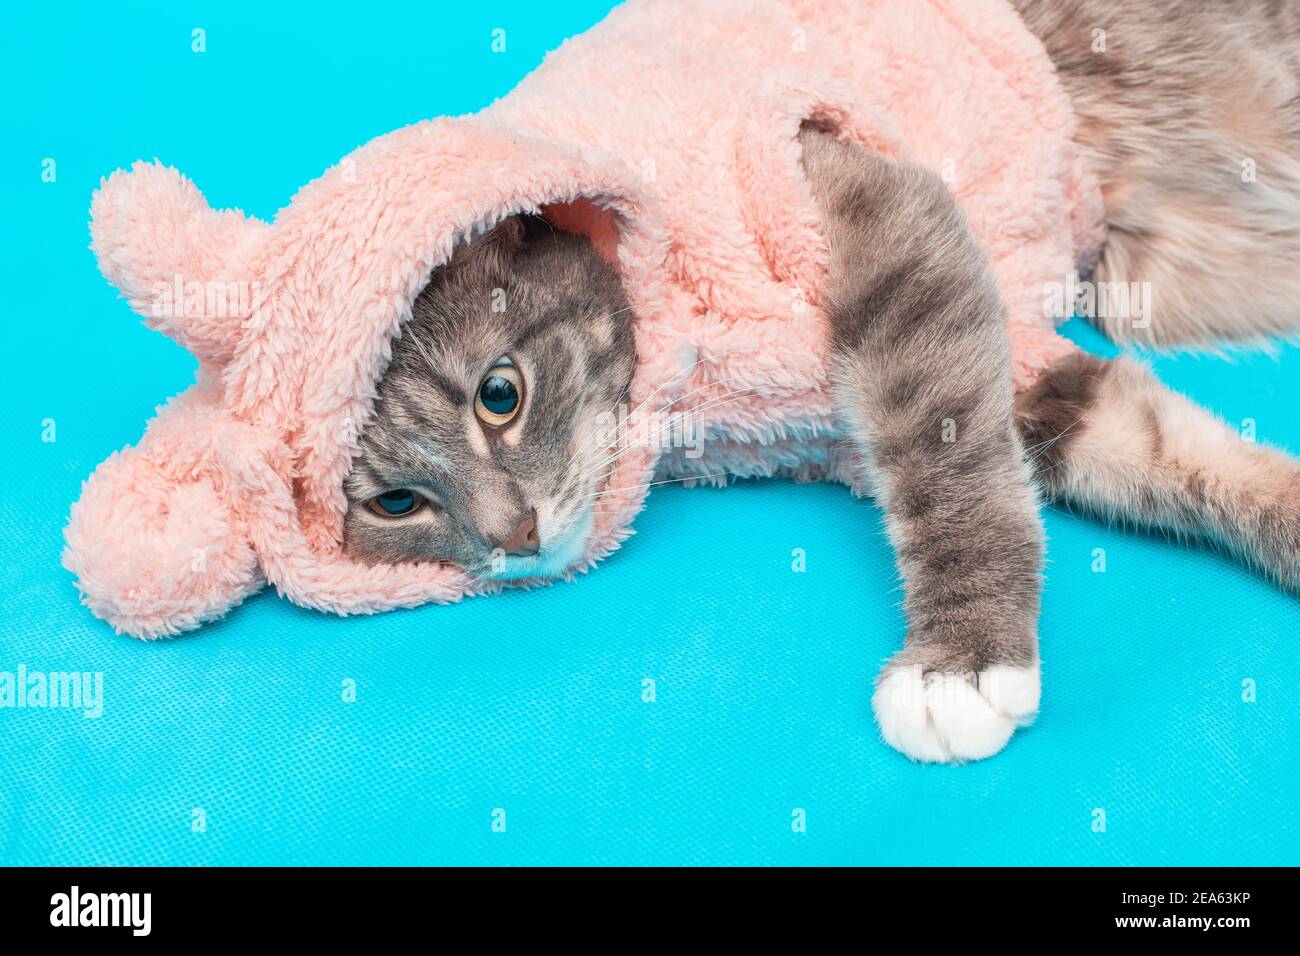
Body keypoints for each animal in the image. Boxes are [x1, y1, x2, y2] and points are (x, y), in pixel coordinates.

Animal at [340, 0, 1294, 764]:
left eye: (499, 394)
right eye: (397, 504)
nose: (517, 537)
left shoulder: (864, 202)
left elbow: (951, 468)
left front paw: (962, 662)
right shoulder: (1020, 374)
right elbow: (1181, 456)